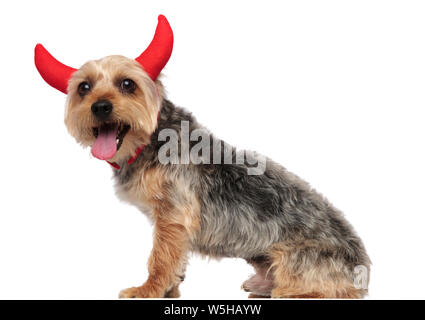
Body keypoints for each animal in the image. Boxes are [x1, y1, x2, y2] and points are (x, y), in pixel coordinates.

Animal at [34, 15, 370, 298]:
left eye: (127, 84)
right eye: (84, 87)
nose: (100, 106)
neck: (151, 140)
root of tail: (361, 268)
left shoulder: (171, 217)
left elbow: (161, 257)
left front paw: (149, 289)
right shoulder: (174, 227)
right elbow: (175, 258)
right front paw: (170, 287)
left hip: (295, 265)